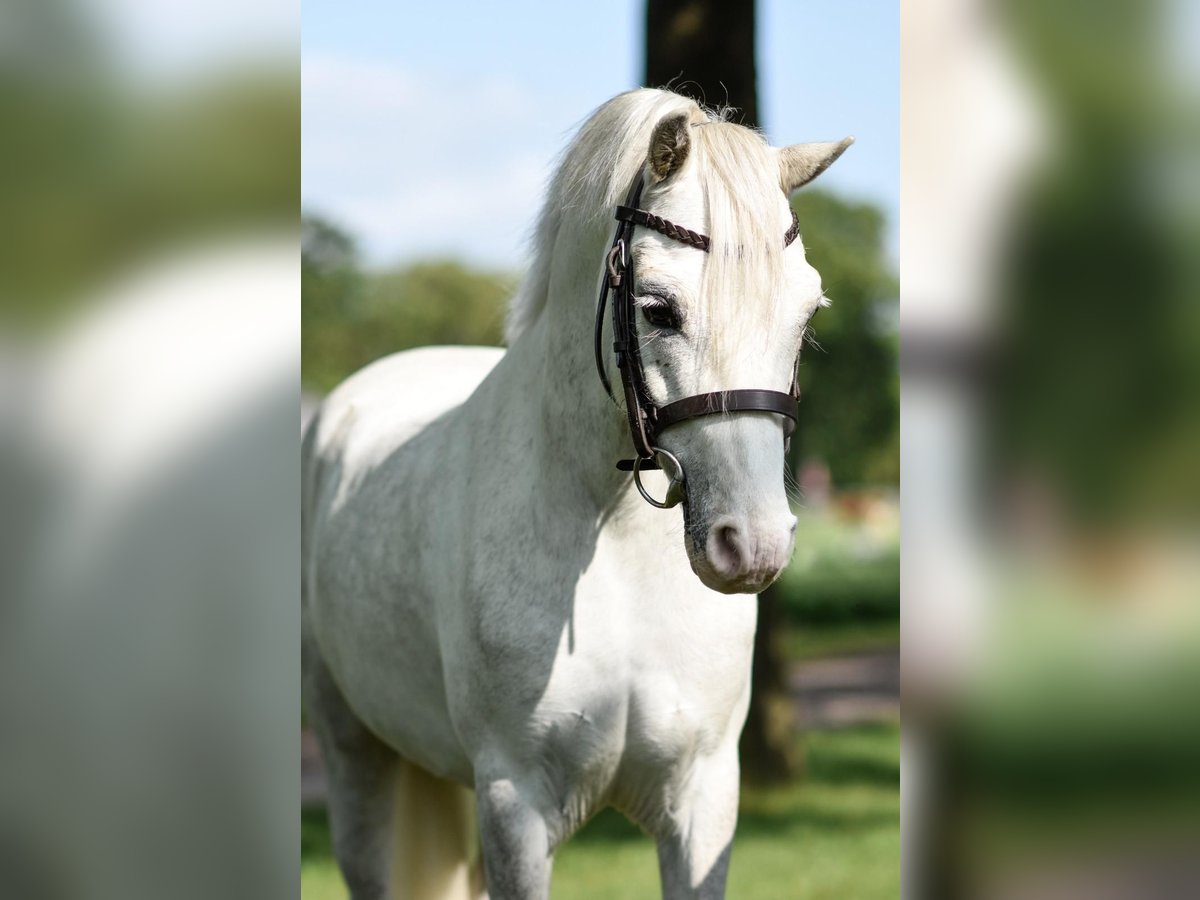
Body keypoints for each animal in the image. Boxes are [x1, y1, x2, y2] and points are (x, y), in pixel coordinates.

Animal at [307, 86, 854, 900]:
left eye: (807, 313)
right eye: (658, 308)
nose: (751, 544)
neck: (611, 543)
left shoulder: (702, 802)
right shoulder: (515, 806)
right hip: (355, 758)